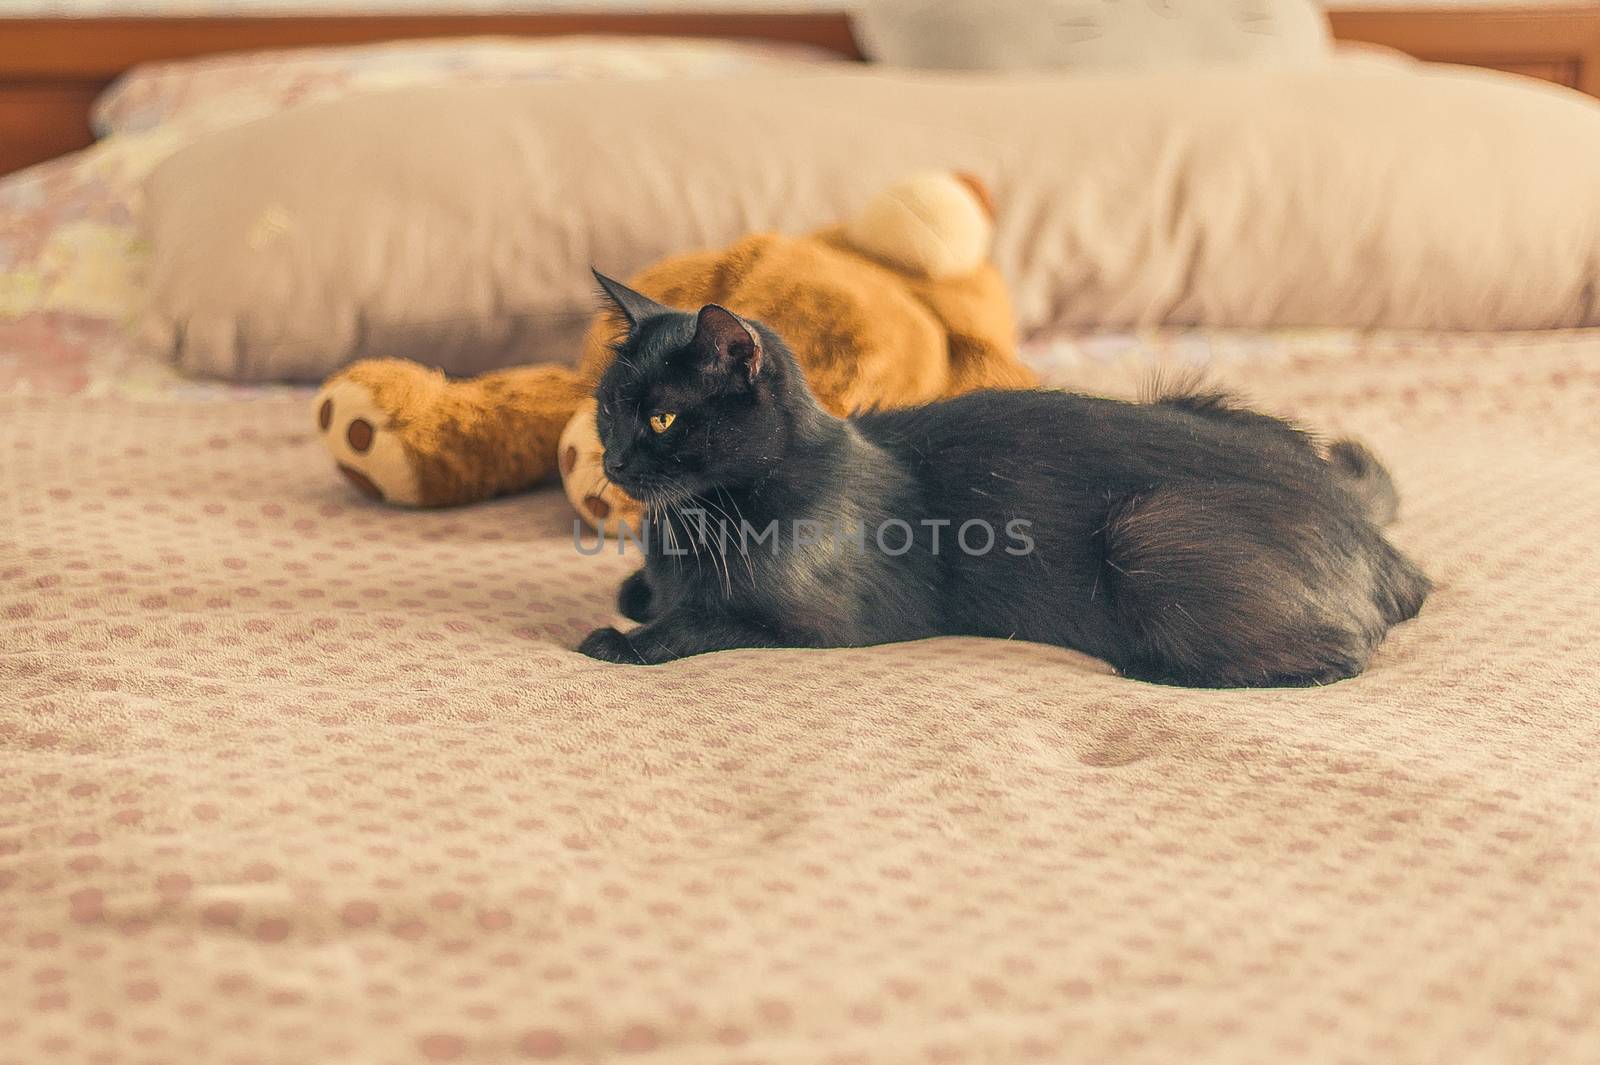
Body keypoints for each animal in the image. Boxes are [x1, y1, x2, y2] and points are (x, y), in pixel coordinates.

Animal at [572, 271, 1427, 687]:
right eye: (609, 408)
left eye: (662, 420)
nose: (611, 461)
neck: (697, 518)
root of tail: (1370, 532)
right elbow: (648, 591)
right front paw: (637, 598)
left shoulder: (815, 625)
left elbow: (702, 621)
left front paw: (621, 639)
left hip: (1150, 529)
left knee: (1342, 655)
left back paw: (1154, 669)